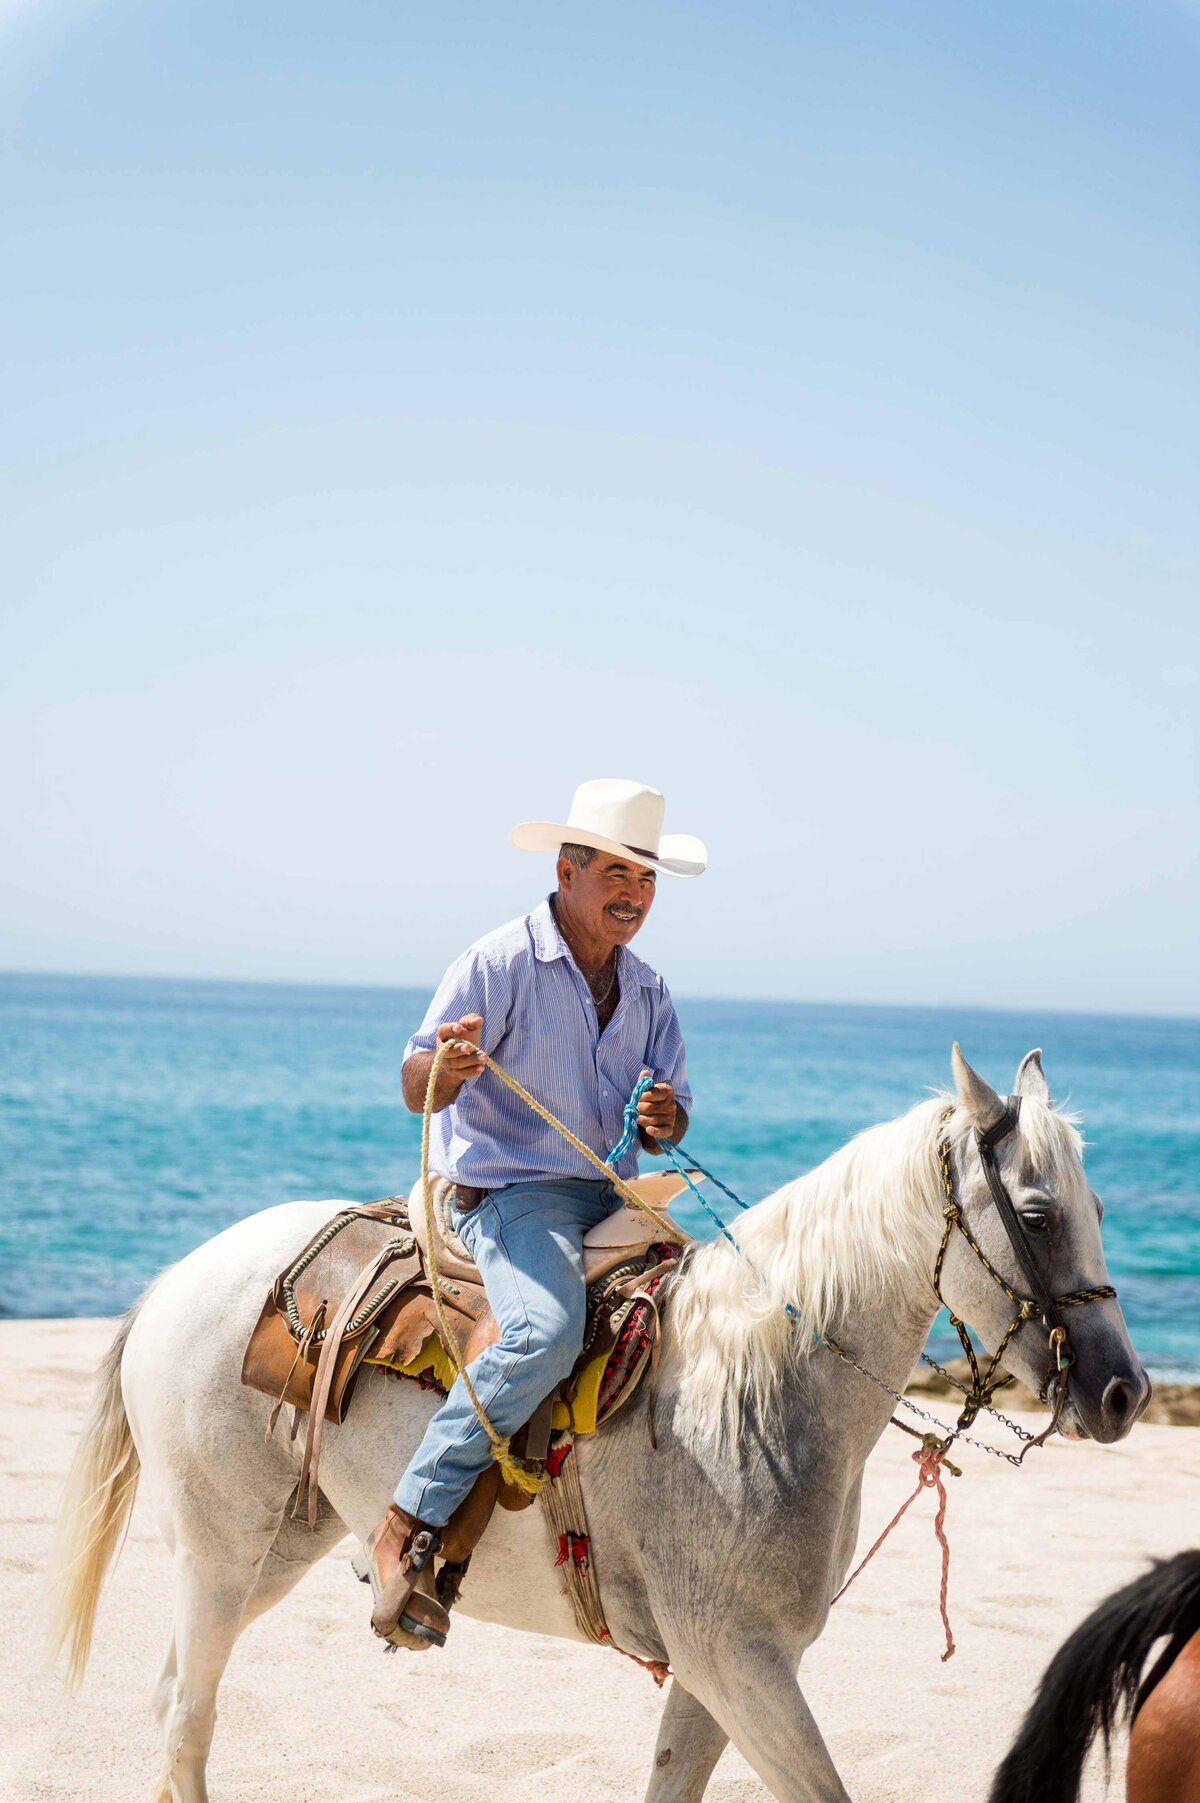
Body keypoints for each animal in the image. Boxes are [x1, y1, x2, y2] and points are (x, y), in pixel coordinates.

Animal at [49, 1052, 1153, 1795]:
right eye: (1040, 1215)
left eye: (1101, 1207)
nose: (1124, 1392)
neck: (757, 1389)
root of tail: (174, 1280)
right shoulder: (737, 1661)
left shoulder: (722, 1672)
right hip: (223, 1548)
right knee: (188, 1718)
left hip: (278, 1545)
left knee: (172, 1697)